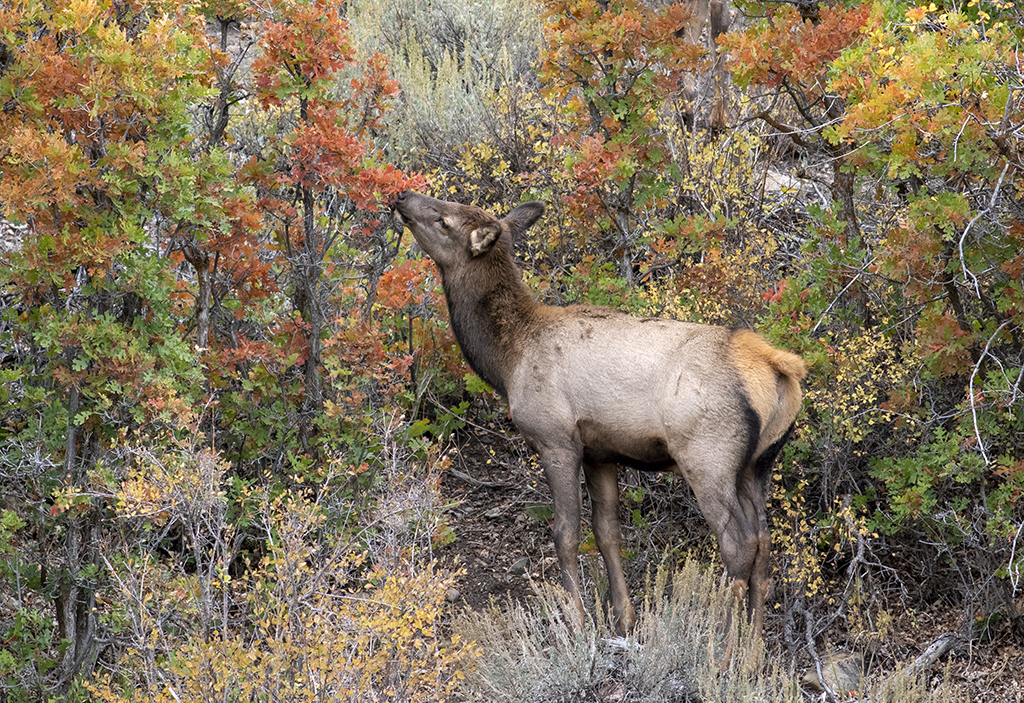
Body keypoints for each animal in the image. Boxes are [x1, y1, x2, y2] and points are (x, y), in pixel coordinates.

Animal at [391, 191, 806, 642]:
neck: (507, 359)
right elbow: (607, 533)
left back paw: (725, 648)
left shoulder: (556, 439)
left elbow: (566, 534)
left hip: (707, 456)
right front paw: (624, 619)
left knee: (739, 544)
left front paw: (576, 624)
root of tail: (777, 366)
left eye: (444, 219)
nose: (402, 196)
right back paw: (754, 649)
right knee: (764, 542)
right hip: (758, 464)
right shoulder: (600, 452)